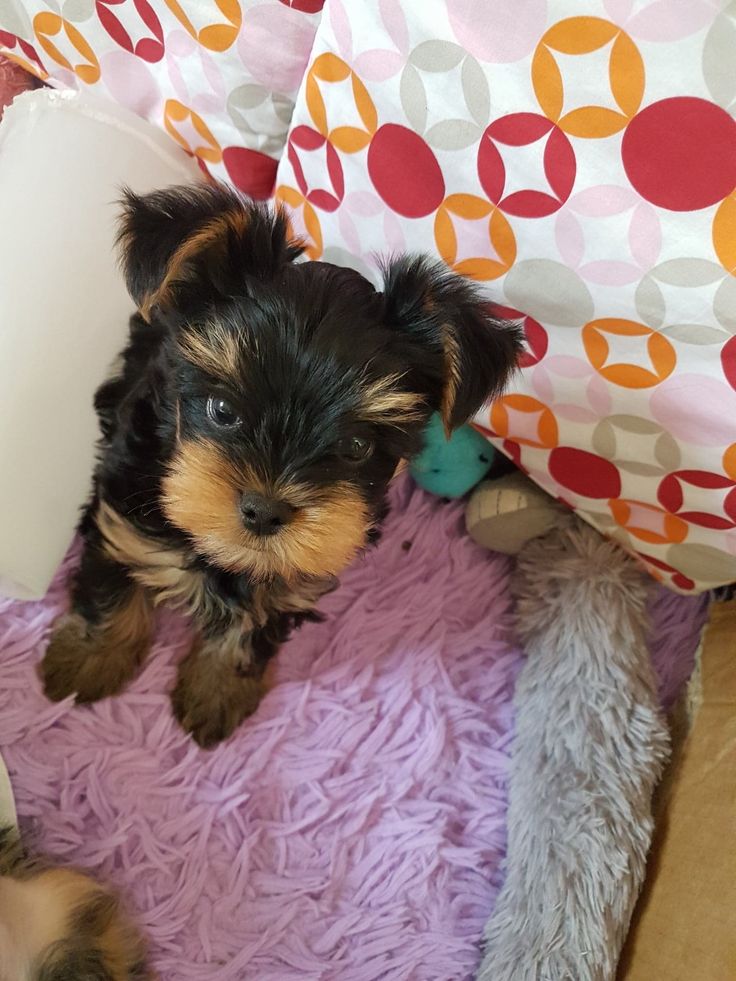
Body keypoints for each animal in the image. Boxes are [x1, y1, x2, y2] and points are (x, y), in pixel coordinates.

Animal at [38, 184, 524, 748]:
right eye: (221, 410)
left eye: (356, 446)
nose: (265, 512)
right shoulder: (123, 501)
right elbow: (111, 575)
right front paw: (87, 660)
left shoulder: (301, 566)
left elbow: (259, 616)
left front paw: (218, 690)